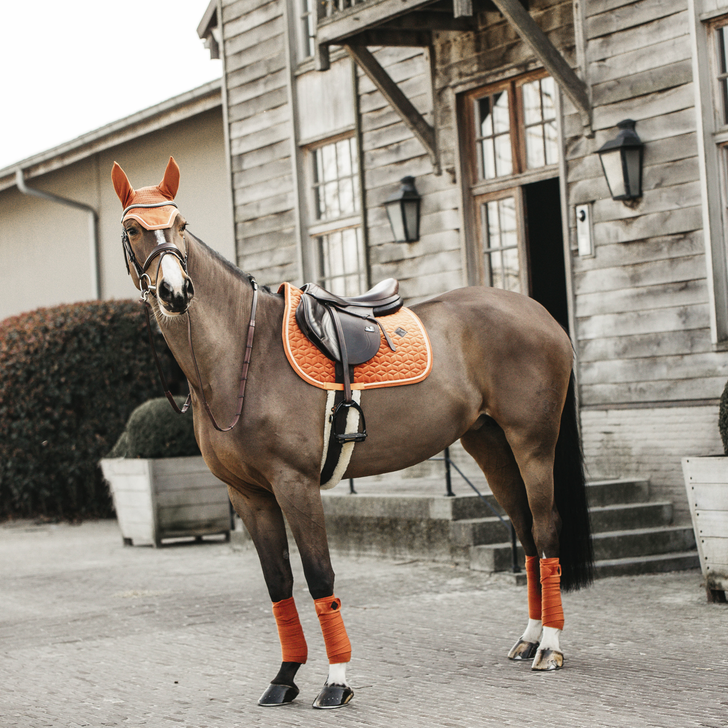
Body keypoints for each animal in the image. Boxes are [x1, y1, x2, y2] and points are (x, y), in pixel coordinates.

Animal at [112, 159, 592, 712]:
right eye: (133, 228)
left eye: (181, 223)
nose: (175, 292)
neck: (242, 357)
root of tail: (540, 314)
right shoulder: (248, 495)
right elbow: (278, 582)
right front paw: (285, 677)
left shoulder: (294, 485)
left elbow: (320, 575)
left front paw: (335, 681)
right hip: (491, 446)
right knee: (528, 535)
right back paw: (530, 637)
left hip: (532, 442)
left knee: (547, 527)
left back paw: (551, 647)